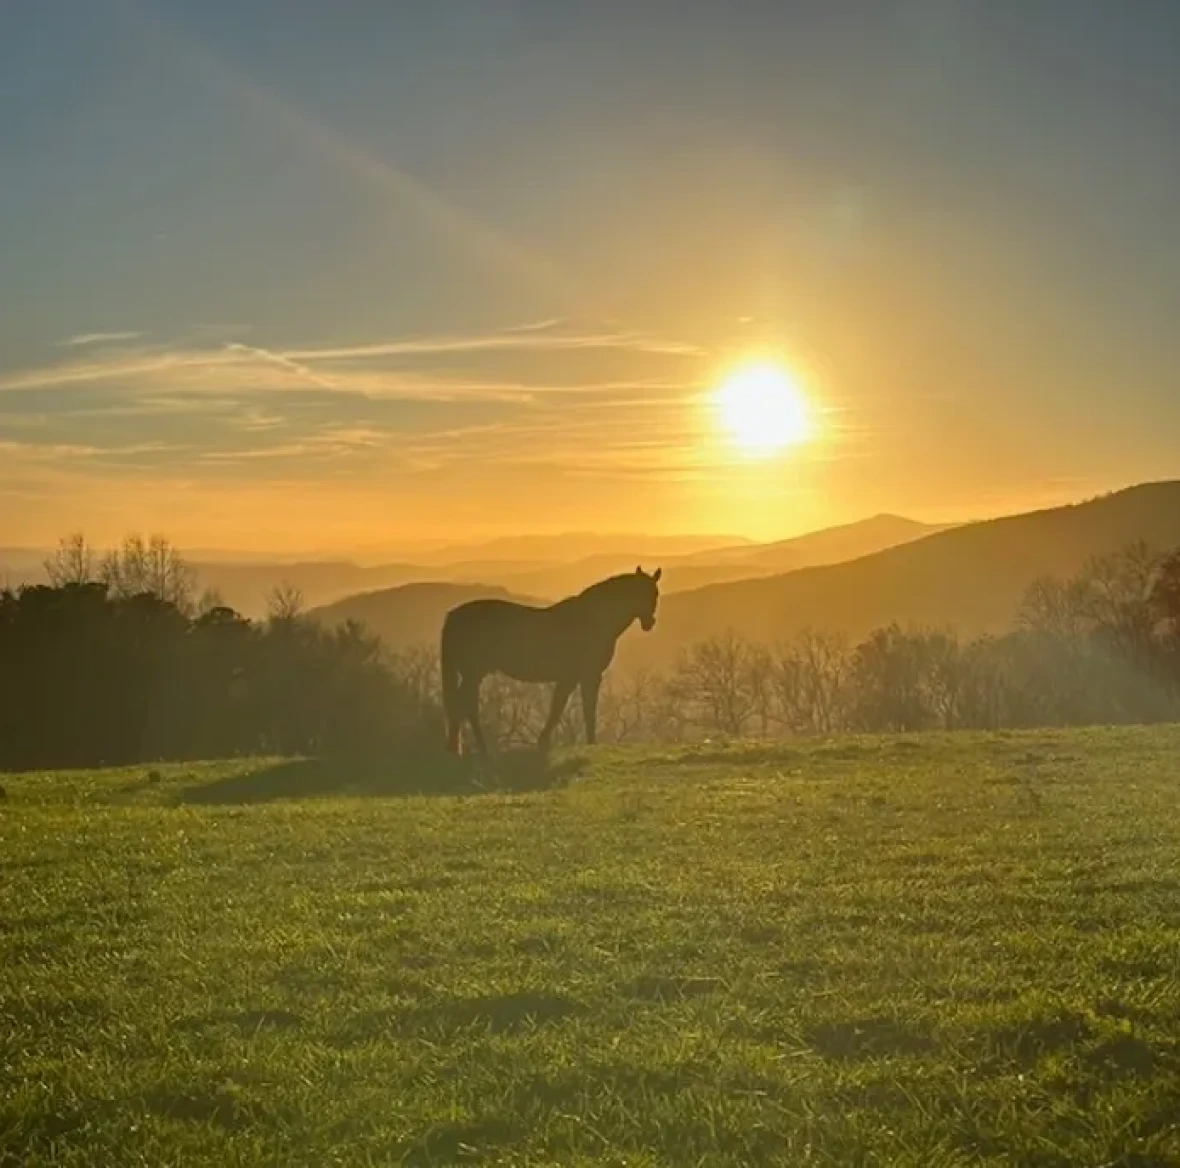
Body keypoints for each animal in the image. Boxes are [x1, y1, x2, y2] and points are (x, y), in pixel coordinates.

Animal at [440, 566, 662, 753]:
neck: (591, 619)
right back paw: (478, 749)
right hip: (473, 672)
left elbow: (562, 706)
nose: (649, 623)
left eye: (655, 593)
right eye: (639, 592)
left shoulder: (573, 677)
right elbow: (581, 707)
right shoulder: (586, 675)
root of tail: (453, 616)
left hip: (473, 674)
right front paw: (588, 743)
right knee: (465, 704)